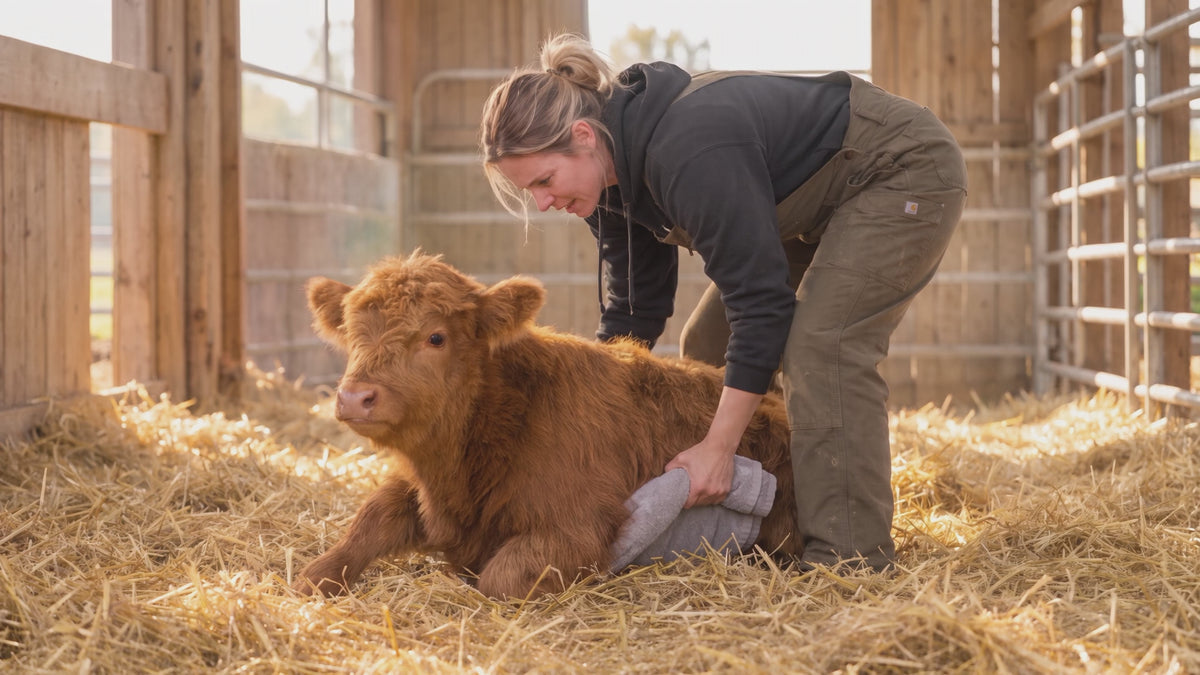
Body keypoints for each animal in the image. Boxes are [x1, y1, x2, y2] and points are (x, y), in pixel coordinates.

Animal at [292, 251, 800, 599]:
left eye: (436, 337)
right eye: (353, 333)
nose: (355, 397)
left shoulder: (576, 530)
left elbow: (498, 579)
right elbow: (366, 522)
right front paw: (318, 574)